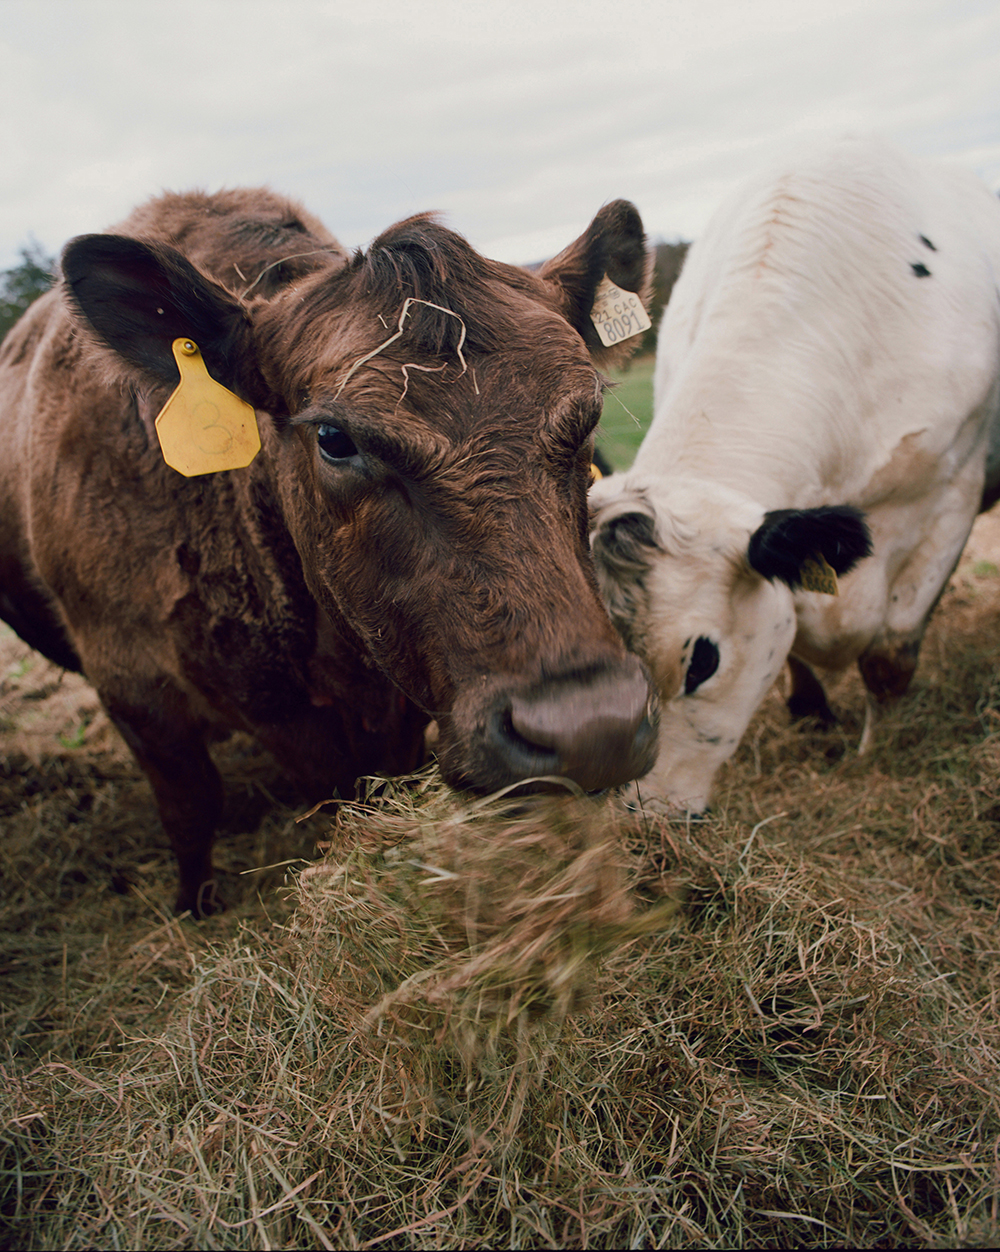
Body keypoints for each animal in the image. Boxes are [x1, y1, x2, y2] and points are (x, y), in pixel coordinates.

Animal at [0, 187, 659, 915]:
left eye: (589, 416)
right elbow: (191, 809)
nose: (591, 728)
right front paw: (196, 906)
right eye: (334, 439)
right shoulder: (131, 682)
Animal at [590, 136, 1000, 815]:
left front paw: (875, 753)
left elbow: (890, 654)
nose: (644, 816)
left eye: (701, 663)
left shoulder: (951, 495)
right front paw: (813, 715)